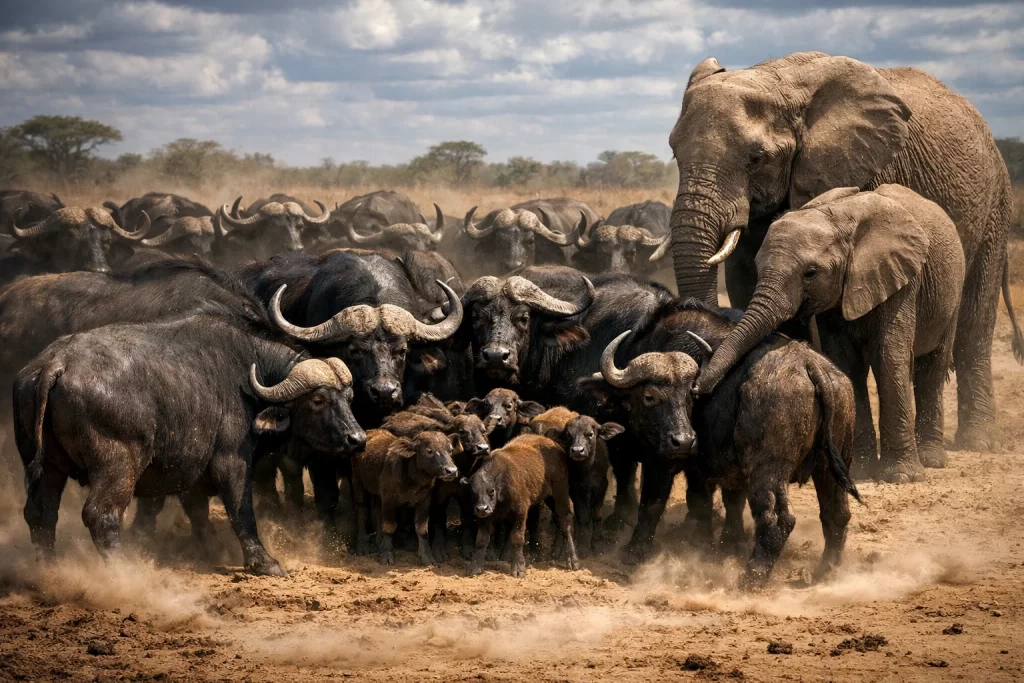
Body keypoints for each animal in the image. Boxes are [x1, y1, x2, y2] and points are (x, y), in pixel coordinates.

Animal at [666, 51, 1023, 452]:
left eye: (757, 158)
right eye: (674, 152)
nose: (697, 391)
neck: (776, 80)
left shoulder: (867, 167)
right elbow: (747, 284)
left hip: (995, 206)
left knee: (975, 318)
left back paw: (978, 442)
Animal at [693, 184, 966, 483]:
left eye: (810, 273)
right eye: (757, 267)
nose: (695, 388)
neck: (838, 220)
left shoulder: (902, 279)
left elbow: (889, 357)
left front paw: (902, 477)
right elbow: (845, 363)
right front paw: (859, 469)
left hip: (952, 292)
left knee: (933, 367)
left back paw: (932, 459)